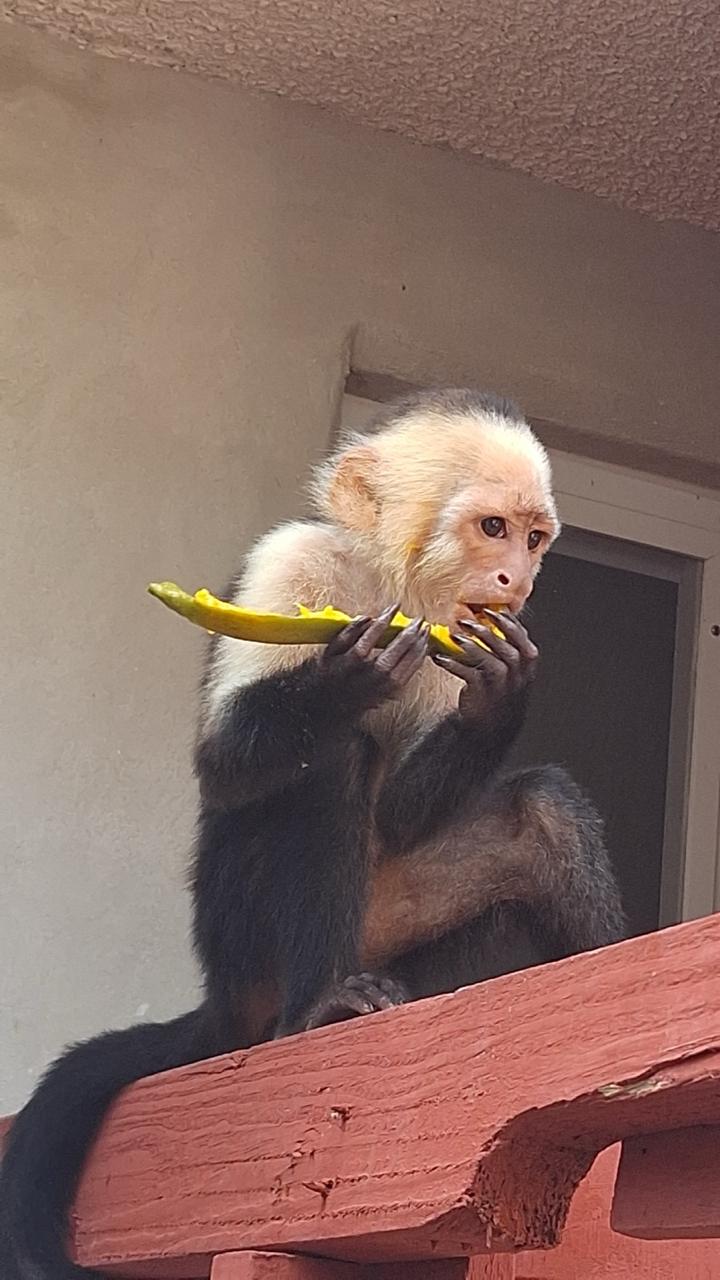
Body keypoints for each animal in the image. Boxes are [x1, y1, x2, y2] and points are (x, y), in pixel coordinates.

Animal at [0, 389, 626, 1280]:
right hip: (238, 940)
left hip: (408, 950)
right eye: (492, 529)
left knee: (543, 812)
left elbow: (405, 812)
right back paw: (317, 1005)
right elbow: (228, 766)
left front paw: (502, 694)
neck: (394, 582)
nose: (518, 579)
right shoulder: (294, 563)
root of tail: (224, 1002)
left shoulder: (452, 633)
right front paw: (346, 675)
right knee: (329, 761)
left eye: (534, 539)